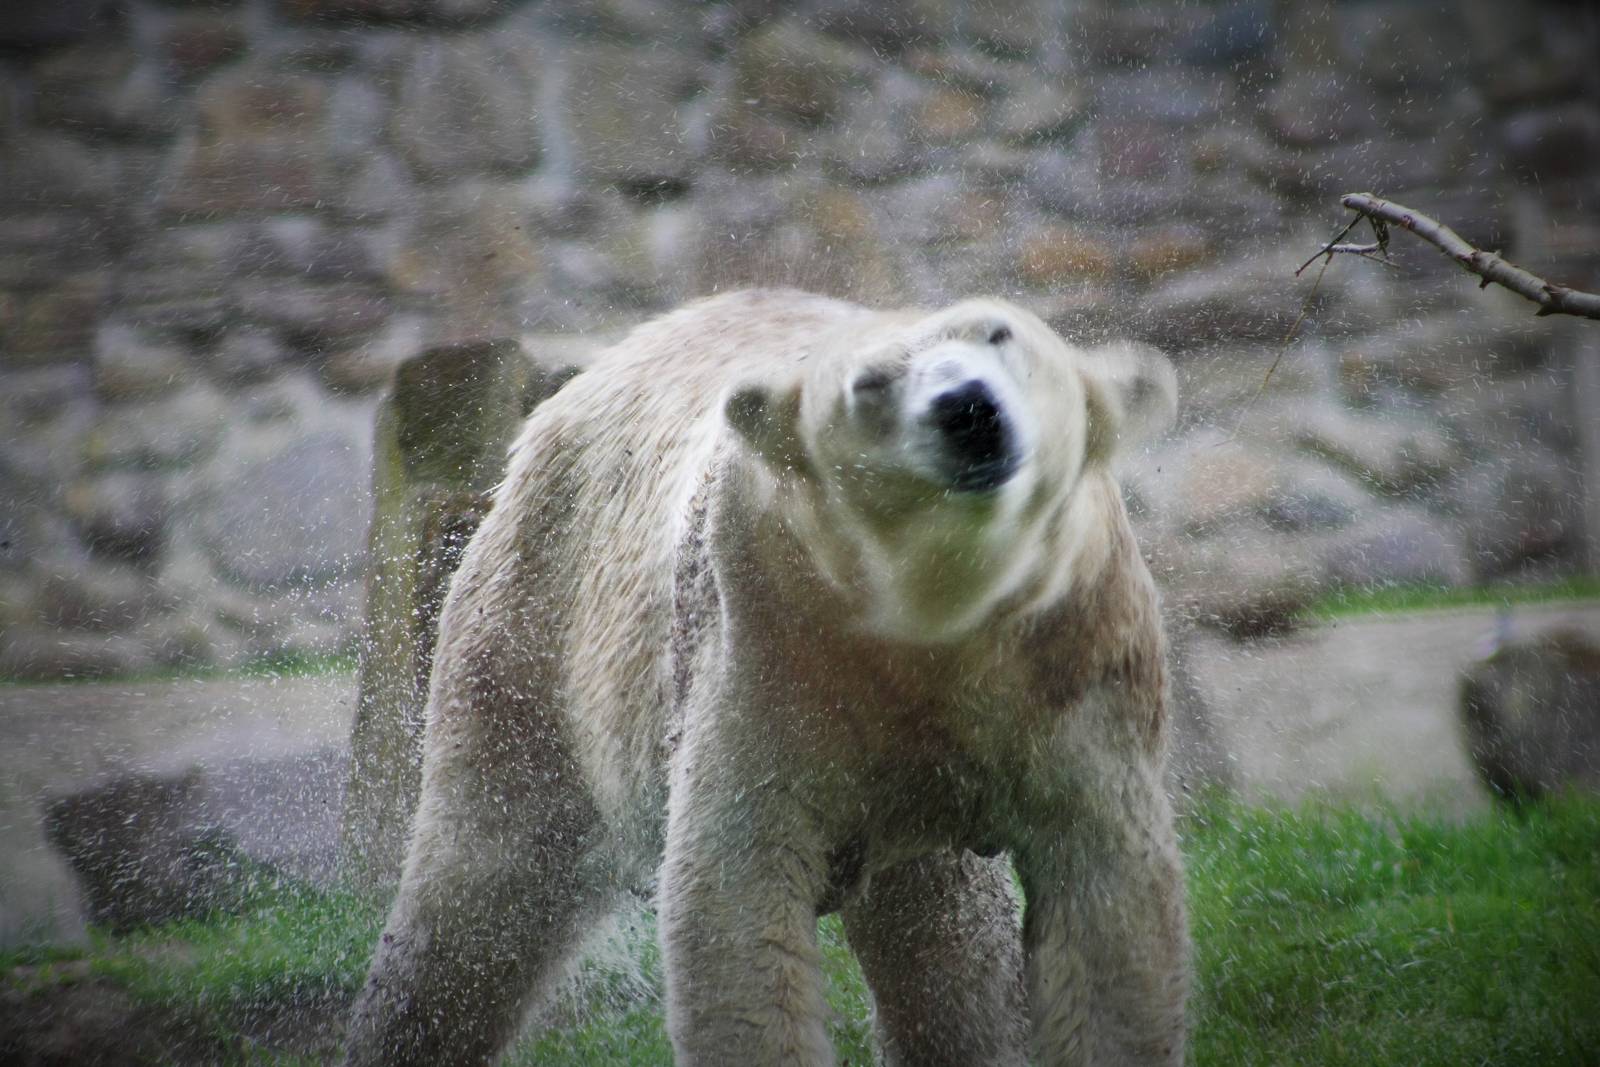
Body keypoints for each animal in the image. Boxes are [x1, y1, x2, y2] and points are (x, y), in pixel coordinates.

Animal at [343, 288, 1188, 1066]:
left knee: (944, 947)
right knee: (479, 891)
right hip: (534, 626)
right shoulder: (771, 644)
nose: (968, 408)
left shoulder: (1080, 664)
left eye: (1001, 333)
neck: (942, 620)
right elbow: (732, 898)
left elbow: (1108, 904)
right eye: (869, 383)